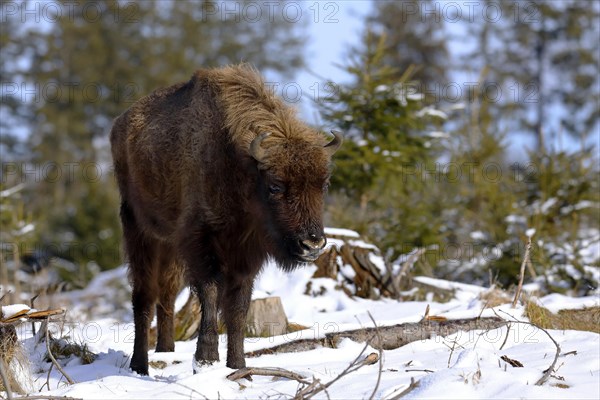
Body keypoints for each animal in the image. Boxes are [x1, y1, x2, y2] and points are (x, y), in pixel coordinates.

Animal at [109, 63, 340, 376]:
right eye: (275, 186)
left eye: (323, 185)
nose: (312, 244)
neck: (240, 166)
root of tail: (119, 126)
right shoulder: (200, 242)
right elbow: (210, 293)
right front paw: (206, 359)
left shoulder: (245, 257)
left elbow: (238, 308)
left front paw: (238, 365)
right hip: (139, 231)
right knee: (144, 295)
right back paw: (139, 366)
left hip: (169, 245)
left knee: (166, 293)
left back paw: (166, 350)